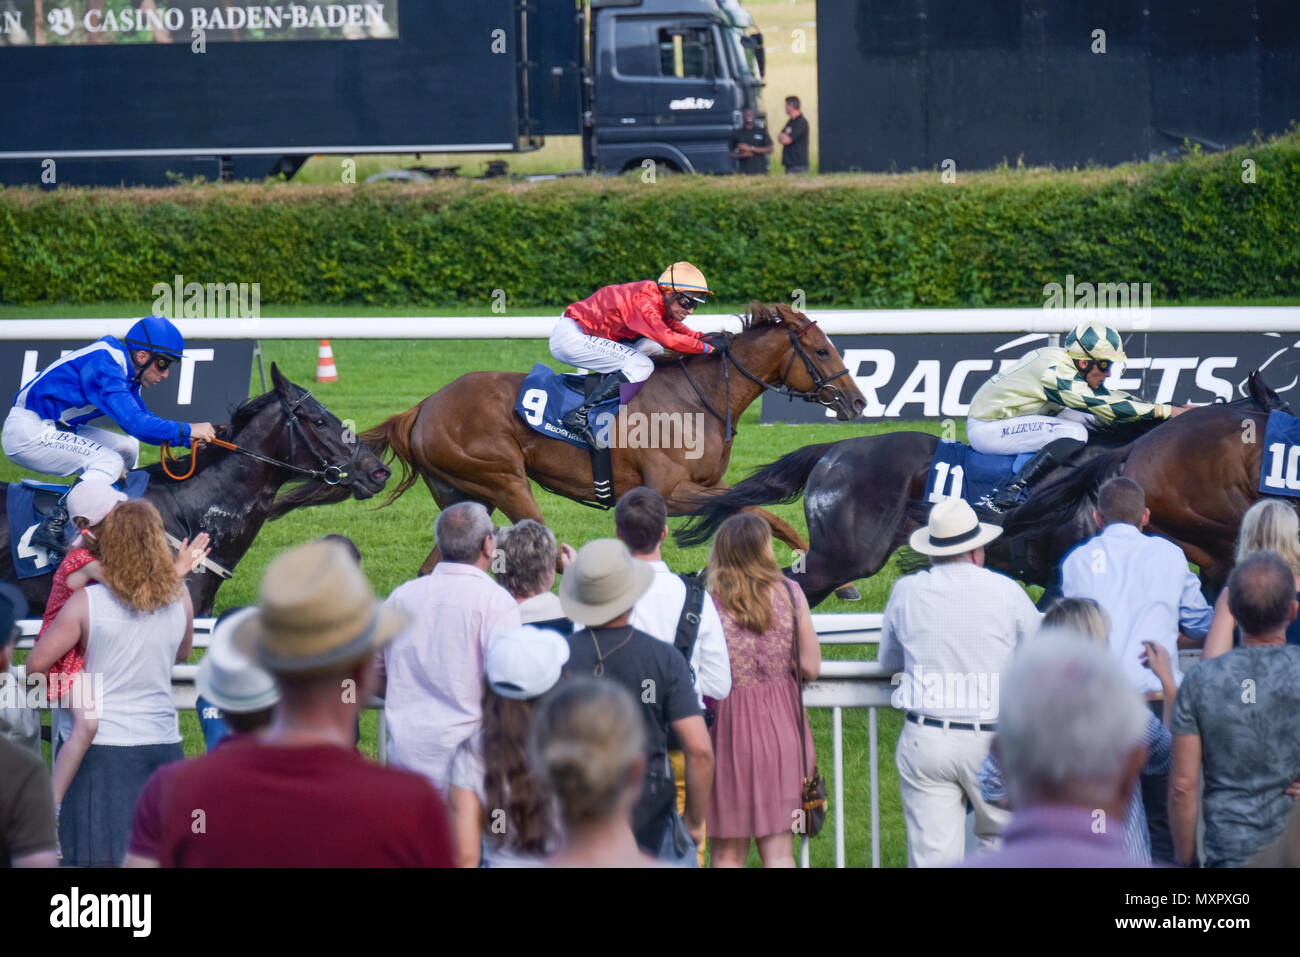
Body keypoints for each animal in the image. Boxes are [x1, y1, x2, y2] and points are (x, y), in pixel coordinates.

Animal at [270, 302, 868, 572]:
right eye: (821, 350)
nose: (858, 401)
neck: (697, 397)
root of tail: (423, 406)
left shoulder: (700, 488)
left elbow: (758, 512)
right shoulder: (669, 492)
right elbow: (763, 510)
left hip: (465, 493)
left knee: (434, 566)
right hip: (504, 479)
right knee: (545, 545)